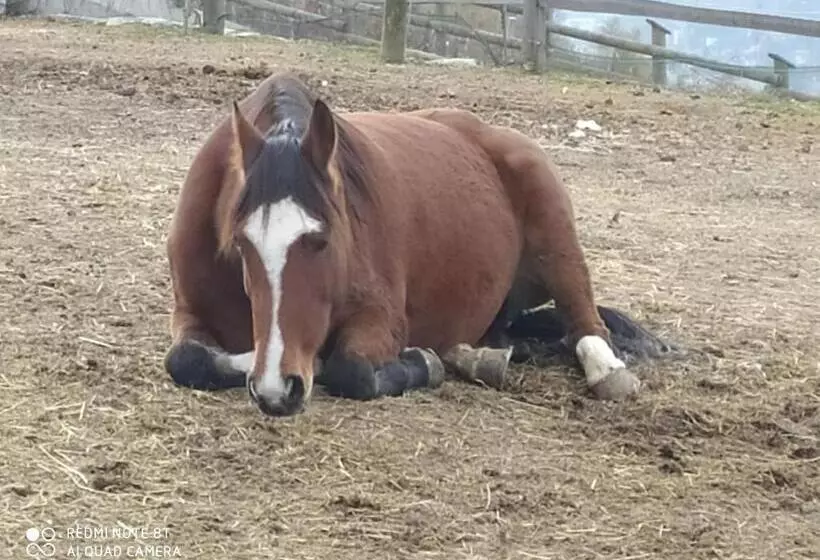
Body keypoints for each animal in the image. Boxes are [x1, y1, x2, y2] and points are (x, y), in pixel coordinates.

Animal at [163, 72, 672, 417]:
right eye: (242, 244)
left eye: (321, 241)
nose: (276, 388)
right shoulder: (189, 312)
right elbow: (186, 359)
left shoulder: (381, 318)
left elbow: (350, 369)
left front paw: (420, 362)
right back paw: (481, 356)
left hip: (558, 240)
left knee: (587, 322)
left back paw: (606, 372)